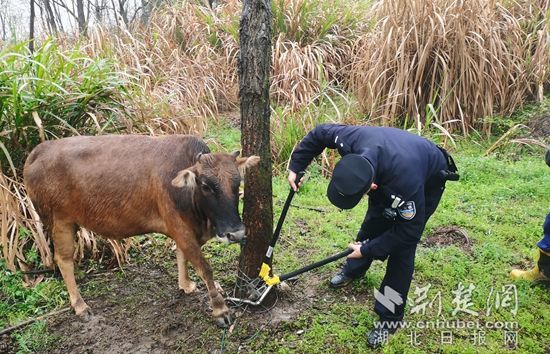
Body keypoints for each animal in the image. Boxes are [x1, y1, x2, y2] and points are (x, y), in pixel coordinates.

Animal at [23, 134, 260, 328]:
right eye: (206, 186)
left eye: (237, 183)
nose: (236, 234)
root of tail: (38, 151)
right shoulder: (180, 228)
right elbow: (204, 267)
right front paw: (221, 310)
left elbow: (181, 255)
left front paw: (185, 285)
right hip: (59, 221)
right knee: (63, 259)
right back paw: (80, 305)